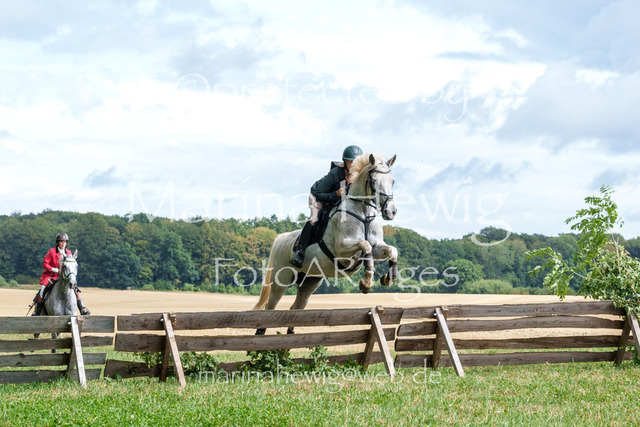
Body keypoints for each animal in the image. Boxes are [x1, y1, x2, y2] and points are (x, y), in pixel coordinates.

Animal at [253, 153, 398, 332]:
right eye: (374, 181)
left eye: (393, 181)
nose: (390, 212)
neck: (363, 213)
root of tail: (282, 238)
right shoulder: (341, 249)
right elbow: (364, 246)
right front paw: (365, 284)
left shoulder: (377, 247)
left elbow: (391, 250)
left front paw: (389, 277)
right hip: (281, 279)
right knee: (270, 307)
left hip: (309, 281)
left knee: (297, 307)